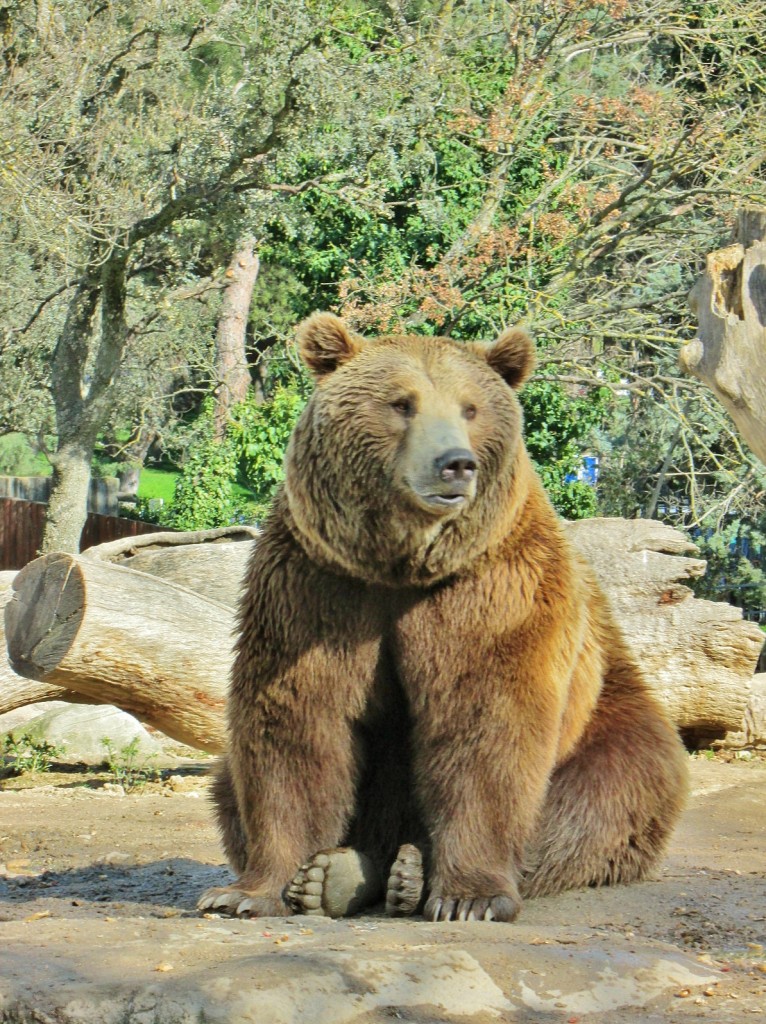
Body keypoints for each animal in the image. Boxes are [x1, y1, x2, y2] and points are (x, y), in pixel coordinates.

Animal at [198, 309, 688, 921]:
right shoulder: (317, 587)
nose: (455, 464)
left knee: (597, 801)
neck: (400, 566)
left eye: (470, 407)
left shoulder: (492, 587)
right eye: (401, 403)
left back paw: (410, 873)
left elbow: (485, 721)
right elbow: (296, 723)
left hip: (610, 716)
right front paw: (246, 892)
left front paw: (468, 899)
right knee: (227, 781)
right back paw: (343, 874)